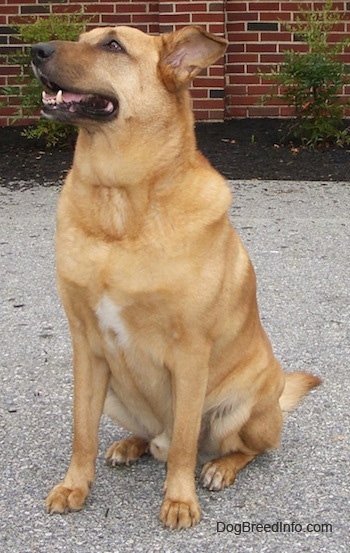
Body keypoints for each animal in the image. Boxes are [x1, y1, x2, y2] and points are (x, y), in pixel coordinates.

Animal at [31, 27, 322, 532]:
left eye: (112, 45)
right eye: (84, 36)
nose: (35, 51)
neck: (120, 204)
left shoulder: (189, 353)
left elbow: (186, 440)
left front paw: (180, 499)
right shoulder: (86, 345)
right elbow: (82, 432)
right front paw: (74, 486)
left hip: (242, 405)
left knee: (245, 448)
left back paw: (221, 467)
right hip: (116, 392)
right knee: (152, 440)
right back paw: (131, 445)